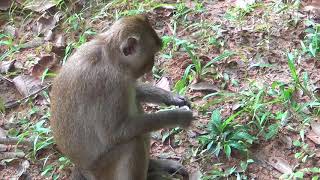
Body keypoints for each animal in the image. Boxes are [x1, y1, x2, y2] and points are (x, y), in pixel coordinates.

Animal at [50, 14, 195, 180]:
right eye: (151, 54)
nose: (152, 64)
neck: (111, 57)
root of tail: (81, 168)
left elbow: (134, 90)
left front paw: (171, 98)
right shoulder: (111, 85)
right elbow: (115, 134)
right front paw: (177, 116)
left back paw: (153, 166)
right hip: (103, 169)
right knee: (132, 143)